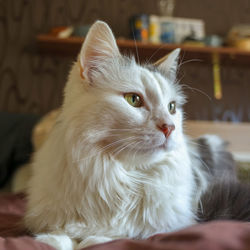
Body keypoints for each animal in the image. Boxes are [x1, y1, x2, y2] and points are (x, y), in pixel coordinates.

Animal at [25, 21, 209, 250]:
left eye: (172, 107)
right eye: (133, 100)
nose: (169, 127)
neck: (118, 178)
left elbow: (117, 236)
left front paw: (93, 240)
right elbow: (61, 237)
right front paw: (54, 240)